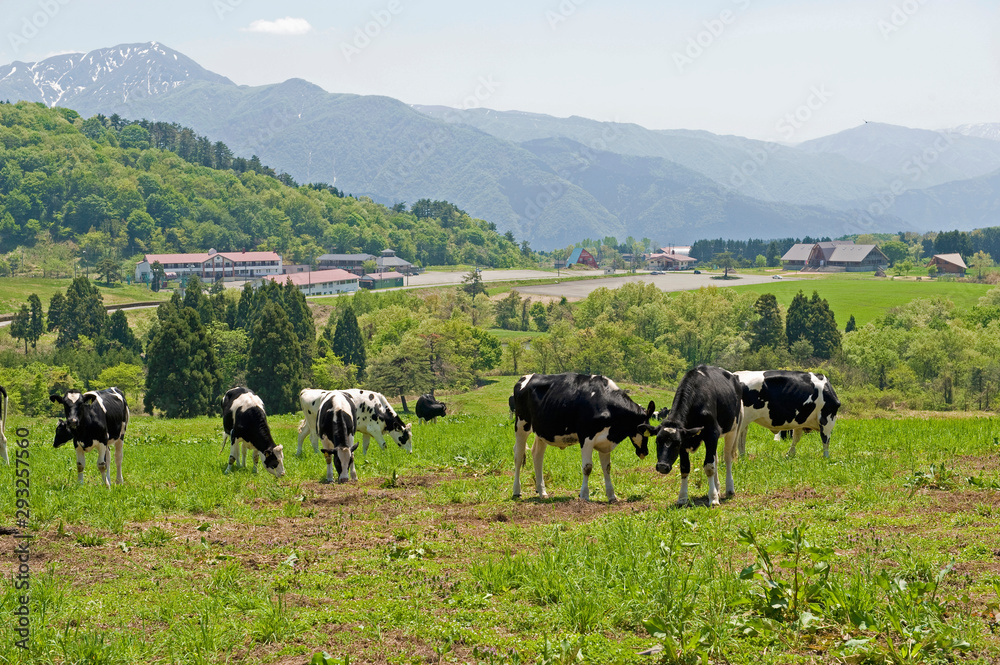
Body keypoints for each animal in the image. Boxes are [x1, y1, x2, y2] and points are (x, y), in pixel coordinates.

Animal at [510, 373, 656, 503]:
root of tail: (527, 377)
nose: (645, 452)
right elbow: (587, 467)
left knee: (537, 455)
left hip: (541, 431)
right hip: (521, 425)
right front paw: (584, 495)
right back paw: (517, 491)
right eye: (645, 431)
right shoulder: (586, 437)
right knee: (518, 456)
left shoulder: (605, 441)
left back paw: (542, 492)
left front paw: (612, 496)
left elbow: (607, 468)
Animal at [640, 365, 744, 508]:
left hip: (733, 428)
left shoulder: (712, 433)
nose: (662, 466)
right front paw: (682, 498)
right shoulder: (686, 439)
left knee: (727, 458)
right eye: (657, 441)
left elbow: (709, 467)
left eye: (676, 443)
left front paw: (713, 498)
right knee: (716, 459)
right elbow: (685, 467)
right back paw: (717, 487)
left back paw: (729, 489)